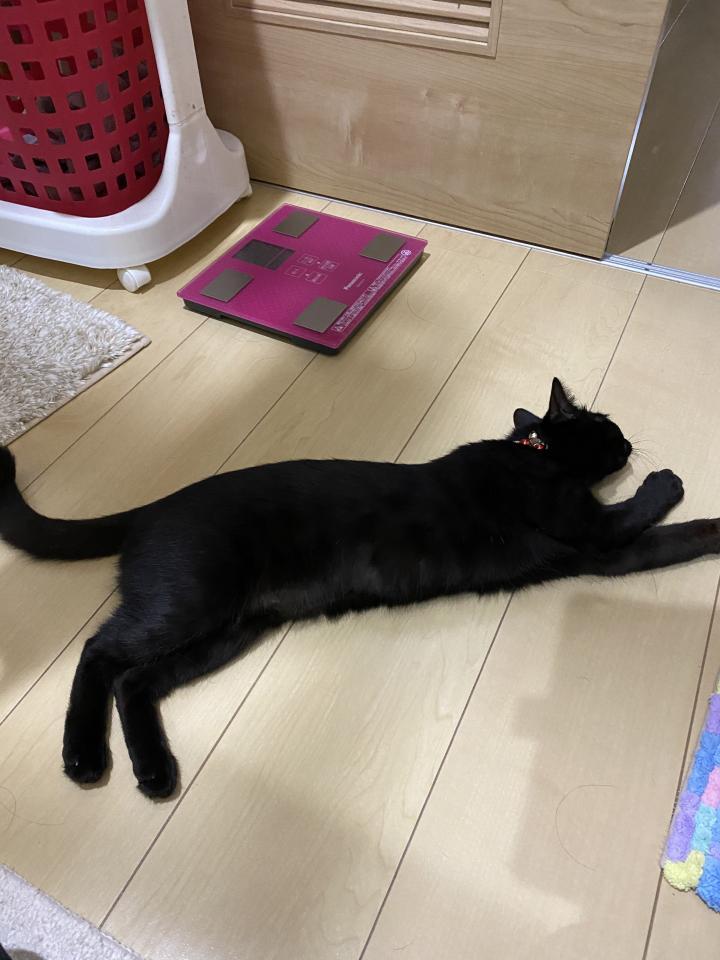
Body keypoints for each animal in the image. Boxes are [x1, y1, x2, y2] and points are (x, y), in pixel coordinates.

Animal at [1, 378, 718, 800]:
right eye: (606, 422)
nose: (628, 438)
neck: (532, 453)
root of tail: (151, 508)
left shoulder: (603, 549)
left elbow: (664, 537)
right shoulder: (598, 537)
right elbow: (655, 518)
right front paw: (677, 490)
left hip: (229, 630)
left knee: (136, 681)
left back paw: (154, 772)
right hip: (190, 602)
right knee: (99, 651)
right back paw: (82, 756)